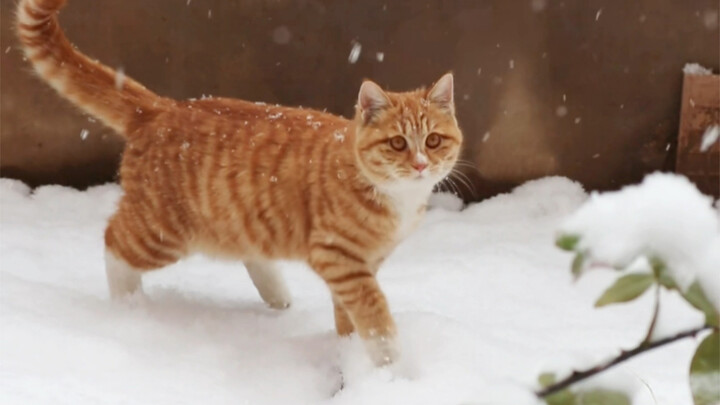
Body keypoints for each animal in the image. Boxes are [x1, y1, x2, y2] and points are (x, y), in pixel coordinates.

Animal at [19, 0, 464, 366]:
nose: (421, 164)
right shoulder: (340, 258)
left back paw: (277, 296)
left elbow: (349, 314)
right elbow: (374, 313)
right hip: (163, 232)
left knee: (250, 250)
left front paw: (350, 354)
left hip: (237, 217)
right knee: (114, 241)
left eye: (433, 141)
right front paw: (390, 366)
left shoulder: (361, 264)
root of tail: (163, 108)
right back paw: (127, 307)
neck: (398, 196)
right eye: (397, 143)